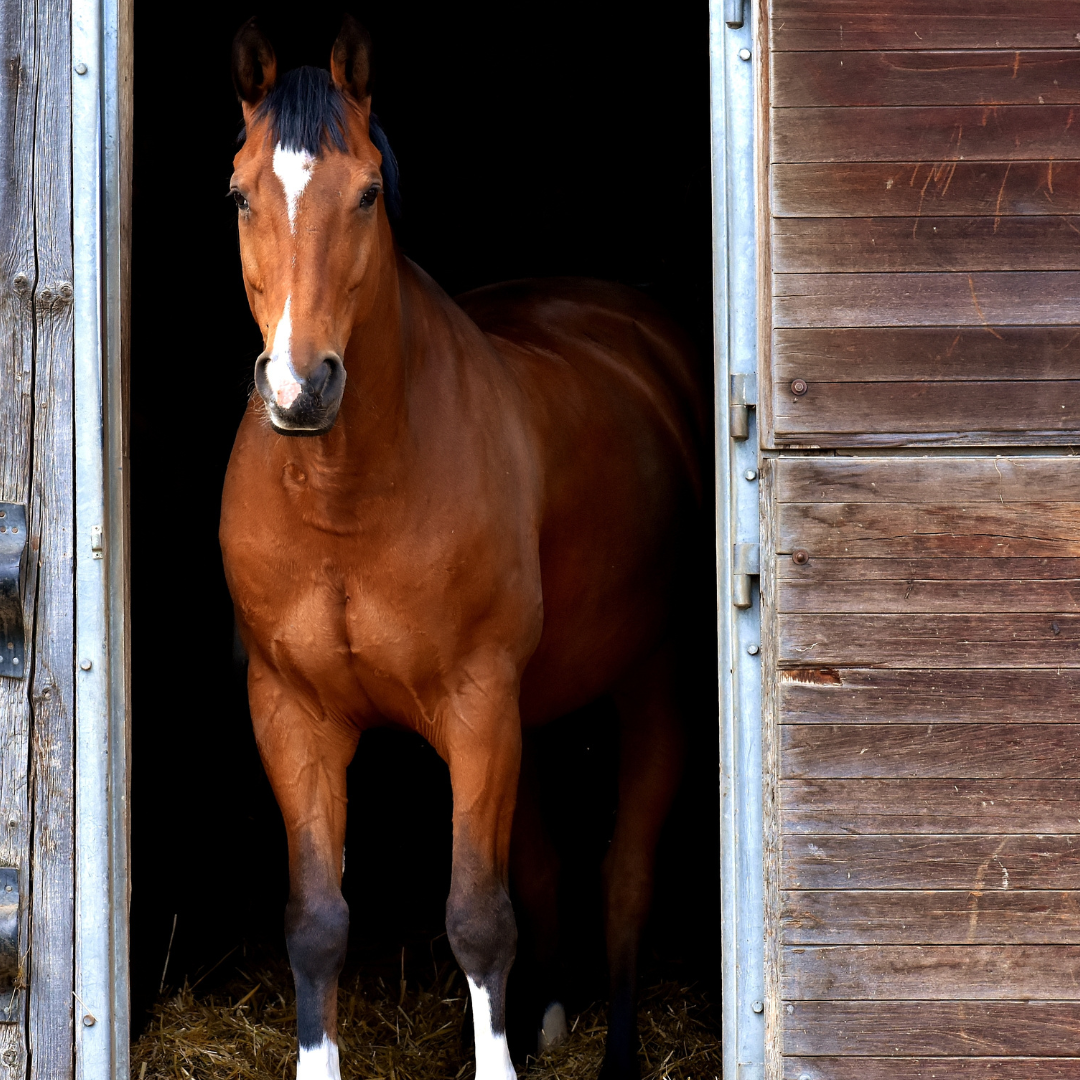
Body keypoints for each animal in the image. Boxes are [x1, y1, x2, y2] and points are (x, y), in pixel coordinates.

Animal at [219, 16, 706, 1080]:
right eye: (238, 193)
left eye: (367, 192)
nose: (301, 387)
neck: (348, 500)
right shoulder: (291, 713)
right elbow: (316, 922)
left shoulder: (478, 704)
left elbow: (479, 919)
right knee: (549, 864)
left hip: (644, 681)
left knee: (625, 873)